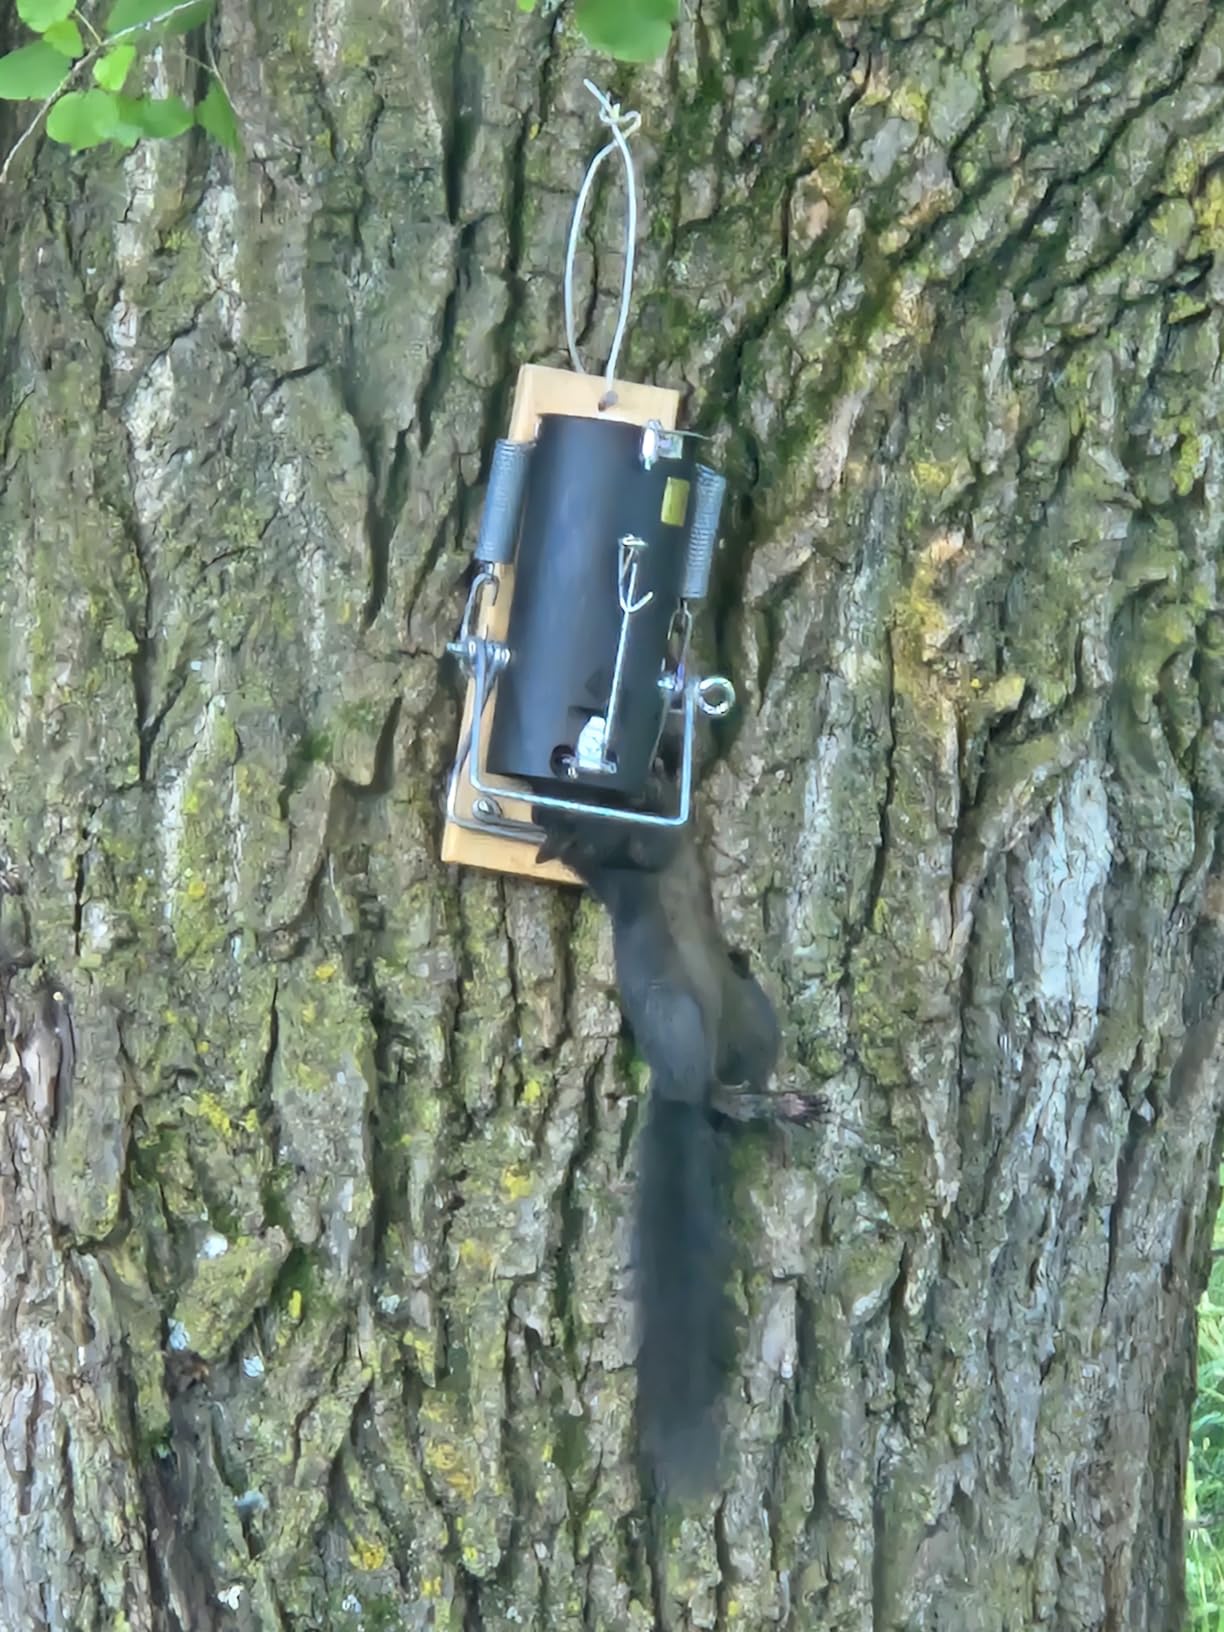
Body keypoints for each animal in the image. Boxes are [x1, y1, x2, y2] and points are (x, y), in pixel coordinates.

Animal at [535, 783, 814, 1500]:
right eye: (564, 823)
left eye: (553, 808)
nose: (550, 807)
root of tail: (678, 1081)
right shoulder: (632, 856)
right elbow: (651, 844)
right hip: (679, 1019)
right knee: (711, 1095)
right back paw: (742, 1103)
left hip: (752, 1016)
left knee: (748, 1072)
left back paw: (778, 1109)